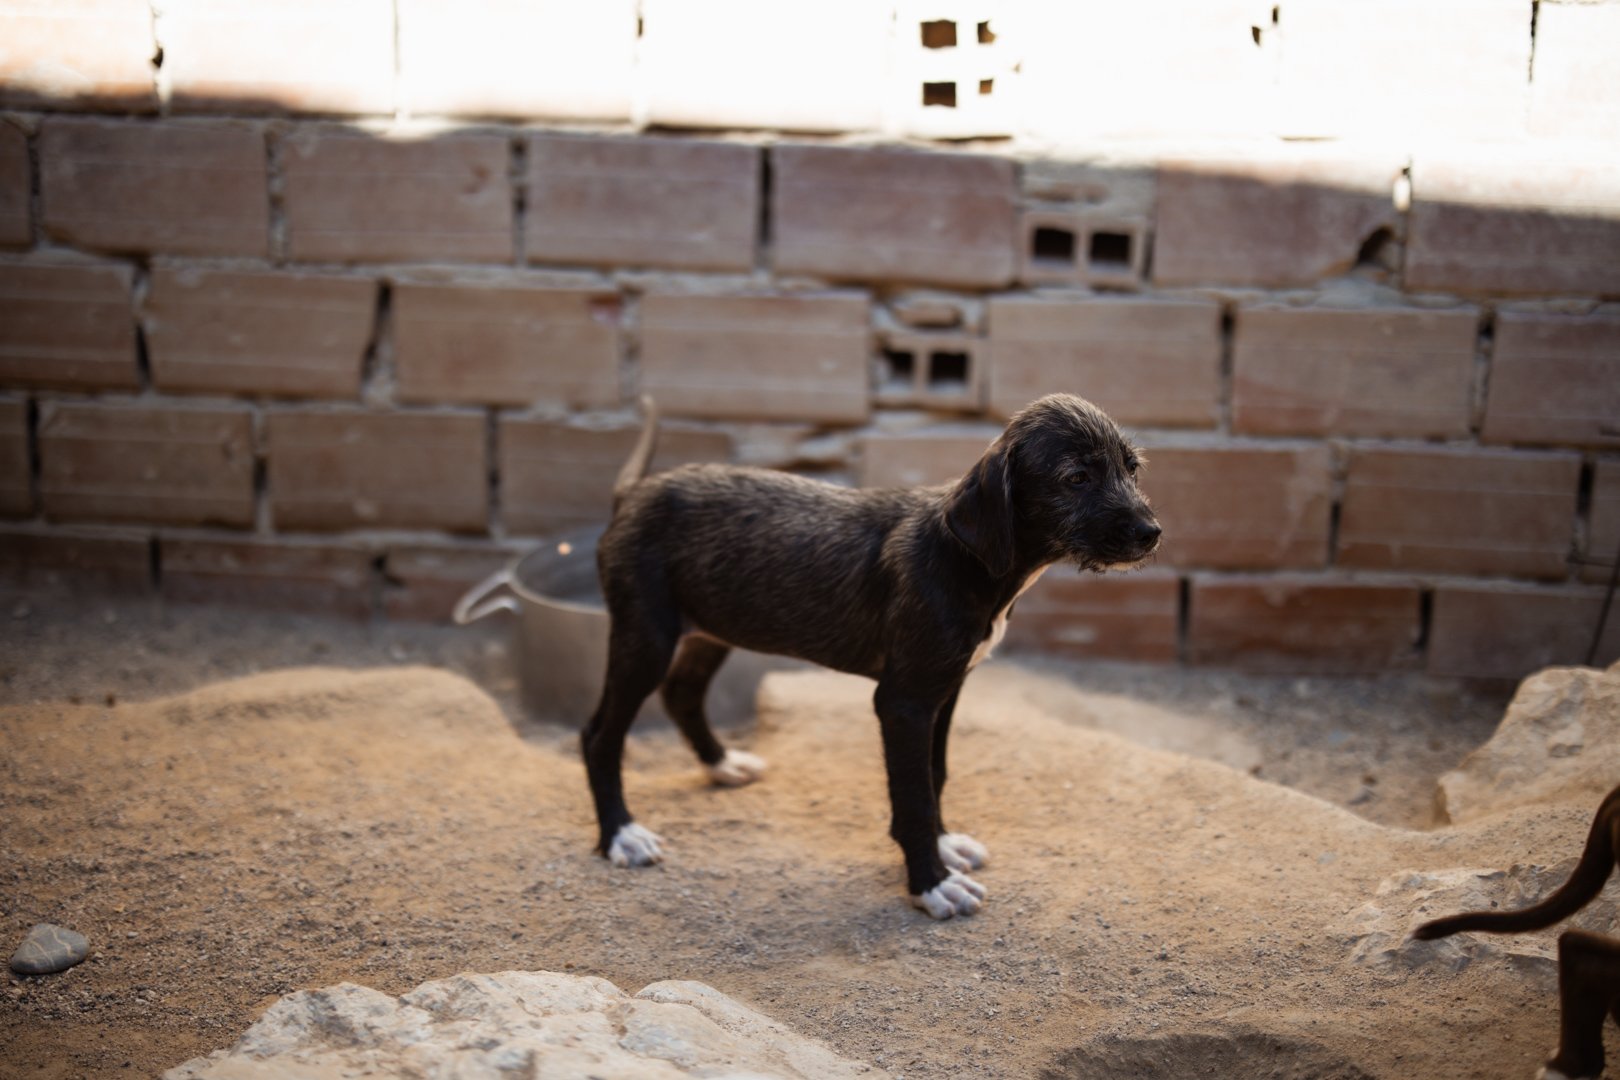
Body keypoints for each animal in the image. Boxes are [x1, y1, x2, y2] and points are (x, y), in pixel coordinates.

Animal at [581, 392, 1162, 918]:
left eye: (1132, 469)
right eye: (1076, 478)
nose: (1152, 533)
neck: (965, 558)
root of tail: (633, 492)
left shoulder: (945, 690)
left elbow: (934, 774)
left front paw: (943, 847)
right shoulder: (903, 702)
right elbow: (914, 793)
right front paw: (932, 883)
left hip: (712, 627)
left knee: (681, 693)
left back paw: (721, 764)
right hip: (645, 636)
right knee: (599, 735)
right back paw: (621, 835)